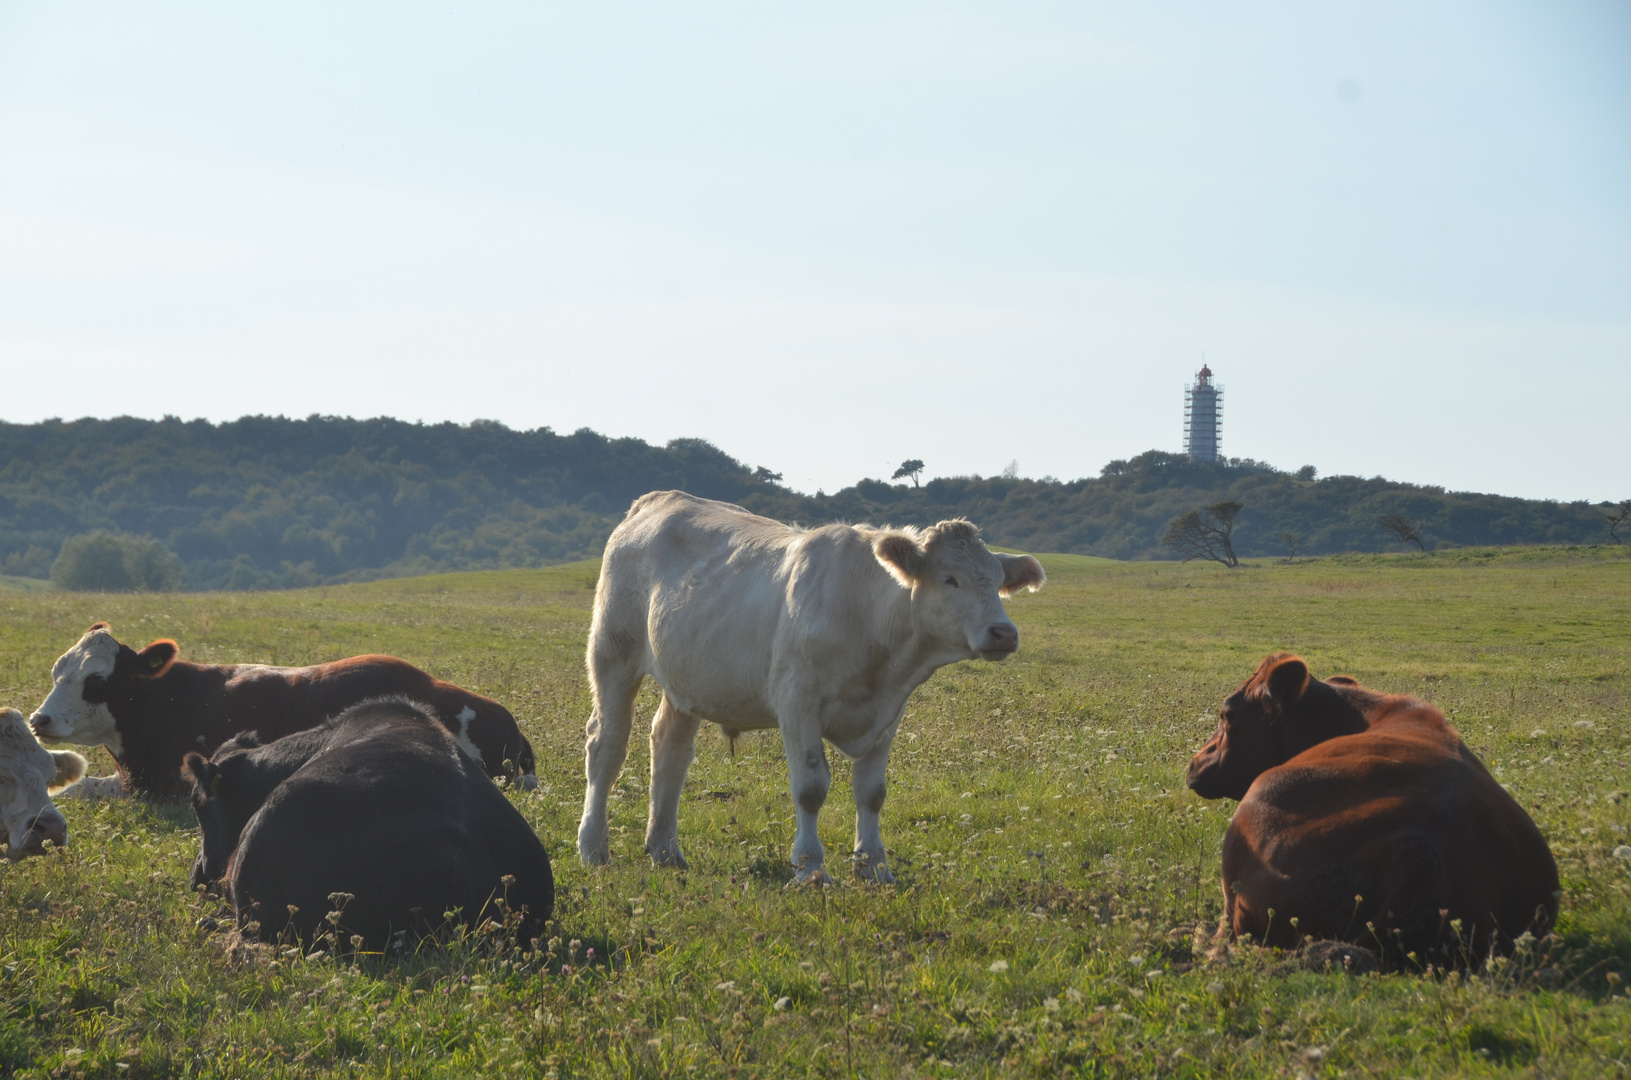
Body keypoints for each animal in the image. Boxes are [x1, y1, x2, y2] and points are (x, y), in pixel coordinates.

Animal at [574, 495, 1043, 887]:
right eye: (950, 578)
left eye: (997, 581)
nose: (1003, 632)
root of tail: (659, 500)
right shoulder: (797, 702)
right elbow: (811, 788)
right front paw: (811, 869)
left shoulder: (889, 712)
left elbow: (872, 793)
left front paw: (874, 868)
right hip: (613, 653)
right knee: (607, 746)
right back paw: (594, 848)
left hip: (686, 676)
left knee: (669, 749)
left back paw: (665, 850)